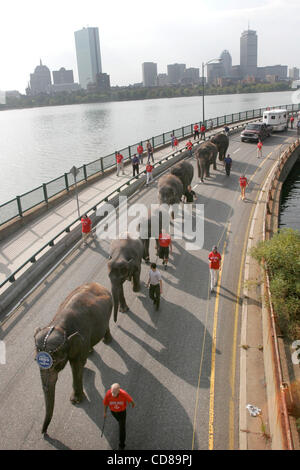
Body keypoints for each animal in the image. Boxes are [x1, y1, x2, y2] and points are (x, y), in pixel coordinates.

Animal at [33, 280, 112, 436]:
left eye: (56, 363)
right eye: (35, 360)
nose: (44, 433)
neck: (59, 326)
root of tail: (97, 283)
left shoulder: (81, 335)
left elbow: (76, 365)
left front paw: (75, 401)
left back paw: (107, 341)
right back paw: (90, 352)